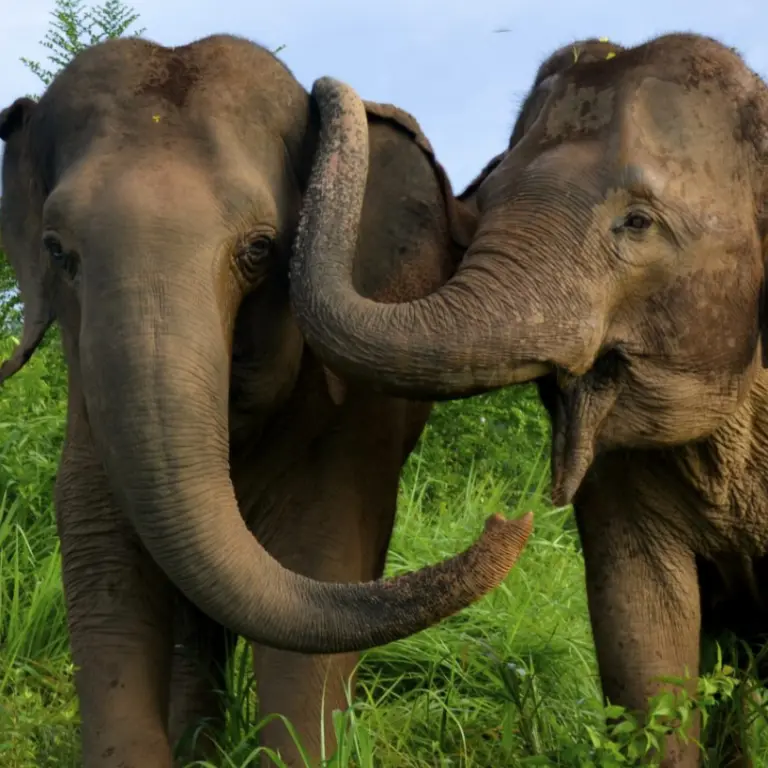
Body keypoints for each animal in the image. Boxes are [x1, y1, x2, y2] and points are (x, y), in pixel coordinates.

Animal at [0, 33, 535, 768]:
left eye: (260, 249)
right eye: (56, 251)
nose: (508, 519)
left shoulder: (346, 420)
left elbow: (320, 554)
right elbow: (100, 550)